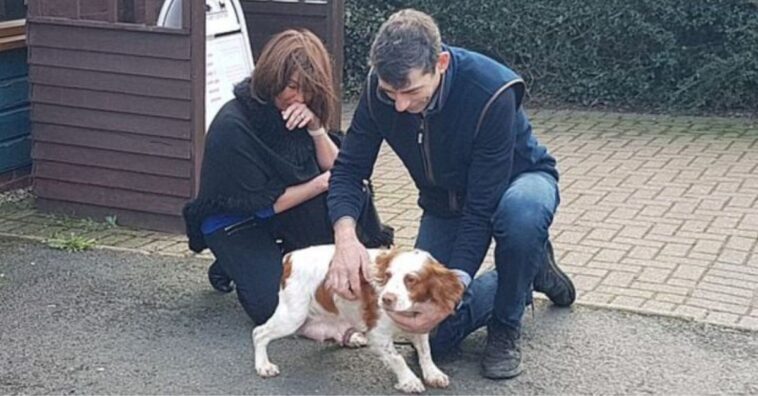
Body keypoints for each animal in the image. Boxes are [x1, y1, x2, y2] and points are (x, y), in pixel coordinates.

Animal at [255, 244, 466, 392]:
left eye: (411, 280)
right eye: (388, 275)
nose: (386, 299)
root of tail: (290, 257)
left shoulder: (419, 325)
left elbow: (425, 351)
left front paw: (433, 373)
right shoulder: (378, 333)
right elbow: (397, 358)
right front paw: (409, 381)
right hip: (293, 315)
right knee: (259, 333)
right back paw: (263, 366)